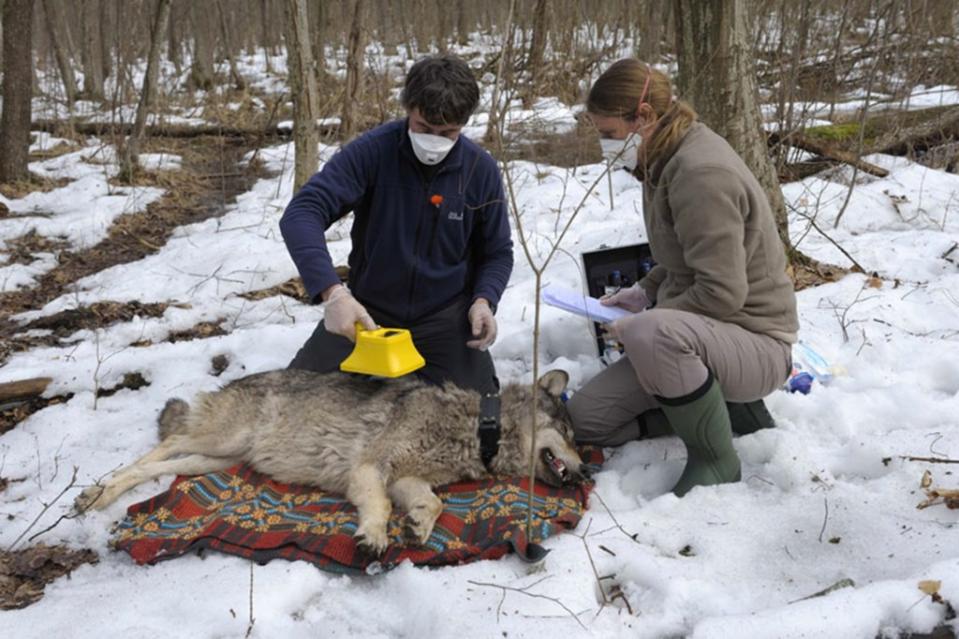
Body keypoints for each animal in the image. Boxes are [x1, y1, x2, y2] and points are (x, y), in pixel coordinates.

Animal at [77, 370, 584, 556]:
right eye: (571, 435)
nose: (586, 471)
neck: (479, 428)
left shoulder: (405, 478)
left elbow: (433, 504)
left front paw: (418, 526)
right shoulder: (371, 469)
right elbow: (379, 507)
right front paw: (375, 536)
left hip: (215, 460)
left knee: (161, 466)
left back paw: (103, 493)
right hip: (220, 438)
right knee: (163, 446)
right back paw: (94, 493)